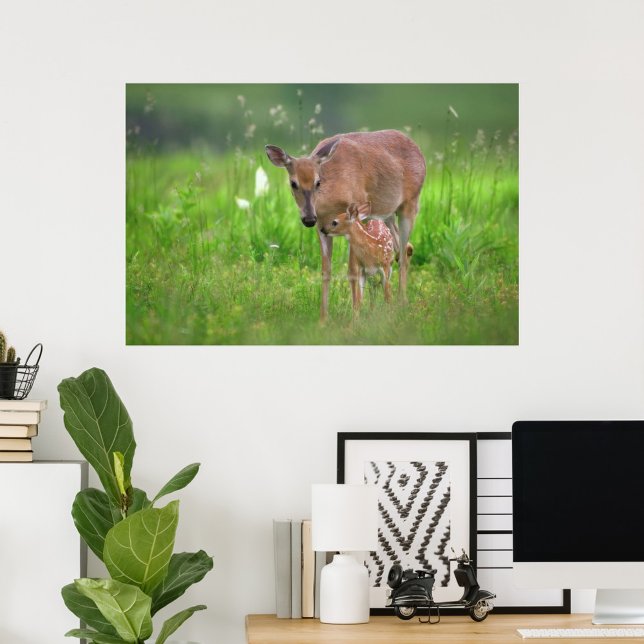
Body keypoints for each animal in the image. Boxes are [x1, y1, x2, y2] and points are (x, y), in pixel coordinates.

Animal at [265, 129, 426, 320]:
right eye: (293, 183)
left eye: (318, 182)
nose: (308, 219)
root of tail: (418, 151)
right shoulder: (322, 226)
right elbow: (326, 271)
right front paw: (323, 318)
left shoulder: (356, 212)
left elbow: (352, 271)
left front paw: (355, 313)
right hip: (386, 214)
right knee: (405, 248)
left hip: (410, 204)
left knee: (402, 252)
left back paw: (401, 302)